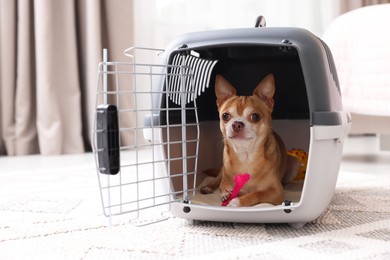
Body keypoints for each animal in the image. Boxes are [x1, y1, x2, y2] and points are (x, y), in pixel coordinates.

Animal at [200, 74, 298, 206]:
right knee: (217, 179)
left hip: (295, 164)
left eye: (255, 116)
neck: (245, 156)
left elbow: (257, 193)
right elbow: (222, 186)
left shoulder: (277, 192)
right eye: (225, 116)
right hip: (222, 169)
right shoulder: (226, 178)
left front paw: (238, 201)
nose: (237, 124)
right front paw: (225, 193)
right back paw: (208, 187)